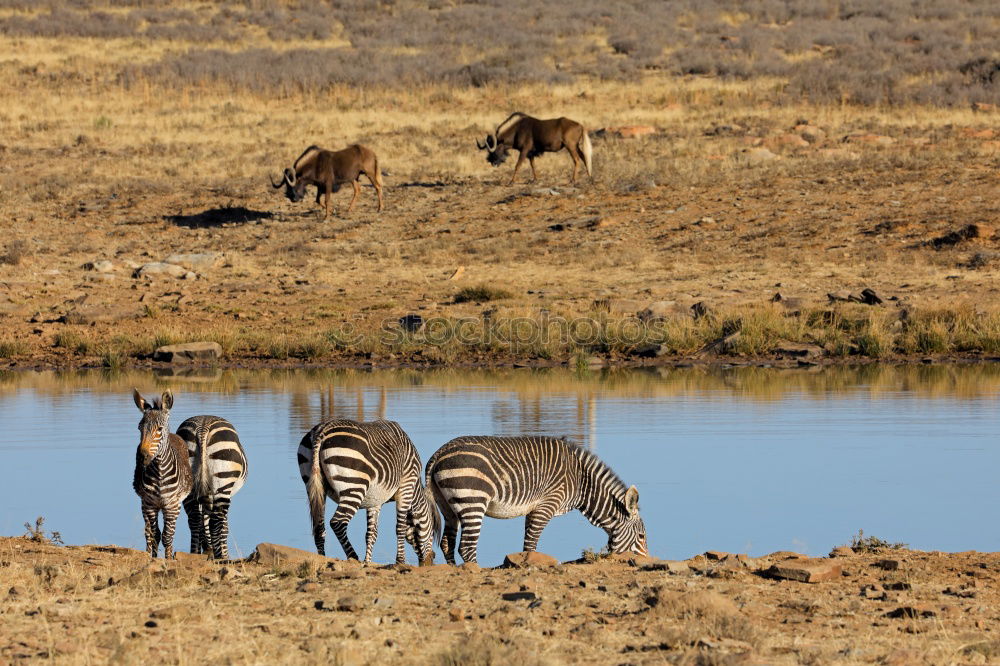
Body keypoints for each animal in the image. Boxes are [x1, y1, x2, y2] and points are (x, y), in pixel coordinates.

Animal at [129, 386, 191, 556]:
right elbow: (154, 535)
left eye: (159, 429)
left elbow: (167, 537)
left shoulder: (171, 505)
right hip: (145, 504)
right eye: (139, 427)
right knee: (148, 533)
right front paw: (153, 558)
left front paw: (168, 559)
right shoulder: (149, 504)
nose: (141, 456)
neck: (159, 473)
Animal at [177, 416, 247, 560]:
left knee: (194, 520)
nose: (208, 550)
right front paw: (222, 552)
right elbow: (224, 527)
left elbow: (203, 521)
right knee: (215, 523)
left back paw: (194, 553)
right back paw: (221, 557)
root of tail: (202, 427)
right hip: (223, 481)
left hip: (188, 484)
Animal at [296, 418, 438, 564]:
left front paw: (368, 562)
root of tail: (322, 429)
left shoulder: (375, 500)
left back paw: (322, 558)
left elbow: (371, 533)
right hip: (354, 486)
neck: (415, 491)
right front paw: (400, 561)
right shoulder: (406, 487)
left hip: (314, 487)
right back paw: (353, 557)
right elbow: (400, 528)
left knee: (319, 528)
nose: (431, 560)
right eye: (432, 531)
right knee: (337, 522)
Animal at [422, 434, 648, 564]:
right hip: (473, 501)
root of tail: (438, 454)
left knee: (447, 543)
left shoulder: (533, 509)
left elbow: (527, 544)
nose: (647, 562)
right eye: (642, 536)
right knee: (466, 546)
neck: (582, 481)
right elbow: (531, 544)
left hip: (448, 505)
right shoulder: (547, 505)